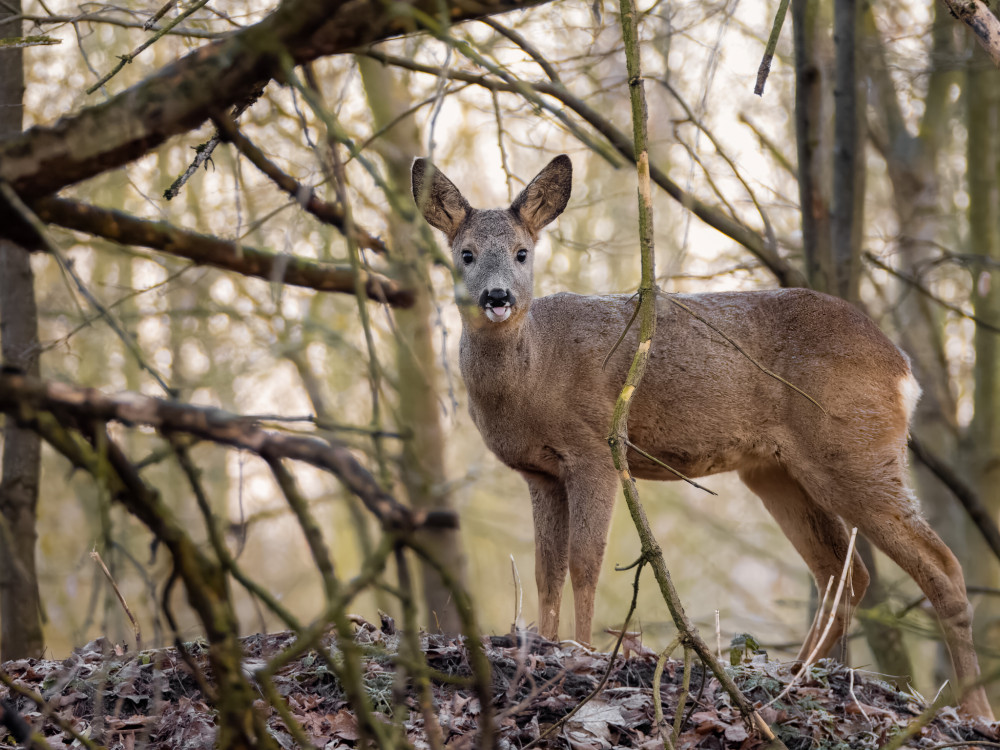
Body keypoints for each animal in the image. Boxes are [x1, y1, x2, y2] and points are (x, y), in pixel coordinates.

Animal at [412, 154, 992, 724]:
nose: (497, 297)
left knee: (940, 566)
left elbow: (584, 560)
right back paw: (791, 678)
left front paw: (584, 653)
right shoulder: (540, 472)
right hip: (777, 469)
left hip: (857, 447)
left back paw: (974, 708)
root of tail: (902, 368)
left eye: (522, 252)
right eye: (465, 254)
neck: (535, 374)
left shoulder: (596, 447)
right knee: (842, 574)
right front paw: (546, 645)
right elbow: (545, 569)